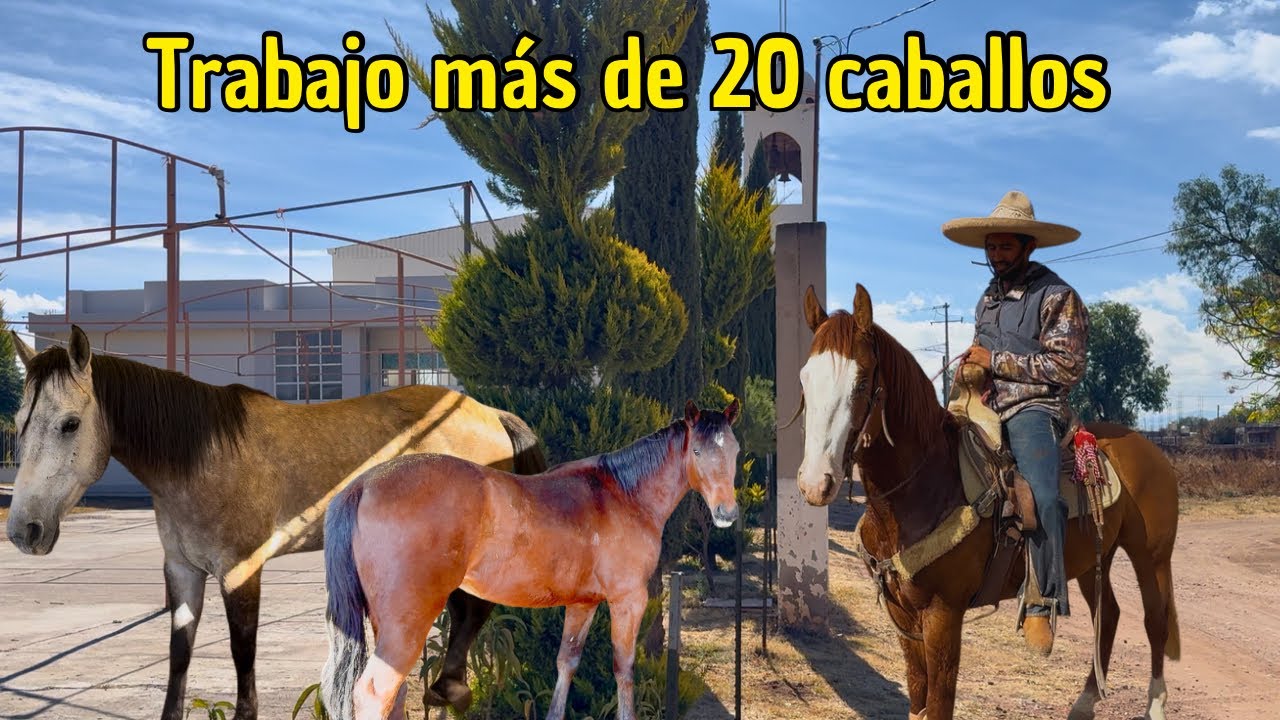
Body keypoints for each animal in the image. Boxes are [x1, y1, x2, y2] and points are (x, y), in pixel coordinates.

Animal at [3, 325, 547, 720]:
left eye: (70, 424)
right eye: (19, 423)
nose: (25, 531)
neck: (202, 456)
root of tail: (488, 413)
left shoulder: (240, 571)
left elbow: (243, 658)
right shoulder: (182, 571)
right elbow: (179, 657)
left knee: (472, 608)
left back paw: (447, 690)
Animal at [320, 399, 741, 720]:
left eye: (735, 450)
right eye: (698, 451)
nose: (727, 512)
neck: (622, 493)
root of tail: (363, 484)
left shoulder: (583, 603)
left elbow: (566, 662)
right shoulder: (628, 601)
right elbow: (624, 668)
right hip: (407, 626)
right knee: (374, 693)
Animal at [794, 285, 1180, 720]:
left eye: (861, 383)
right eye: (805, 379)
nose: (815, 482)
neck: (924, 486)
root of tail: (1151, 450)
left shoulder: (943, 615)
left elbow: (939, 704)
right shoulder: (903, 615)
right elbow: (918, 698)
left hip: (1151, 556)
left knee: (1155, 621)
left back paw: (1156, 705)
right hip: (1093, 559)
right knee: (1109, 614)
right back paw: (1084, 703)